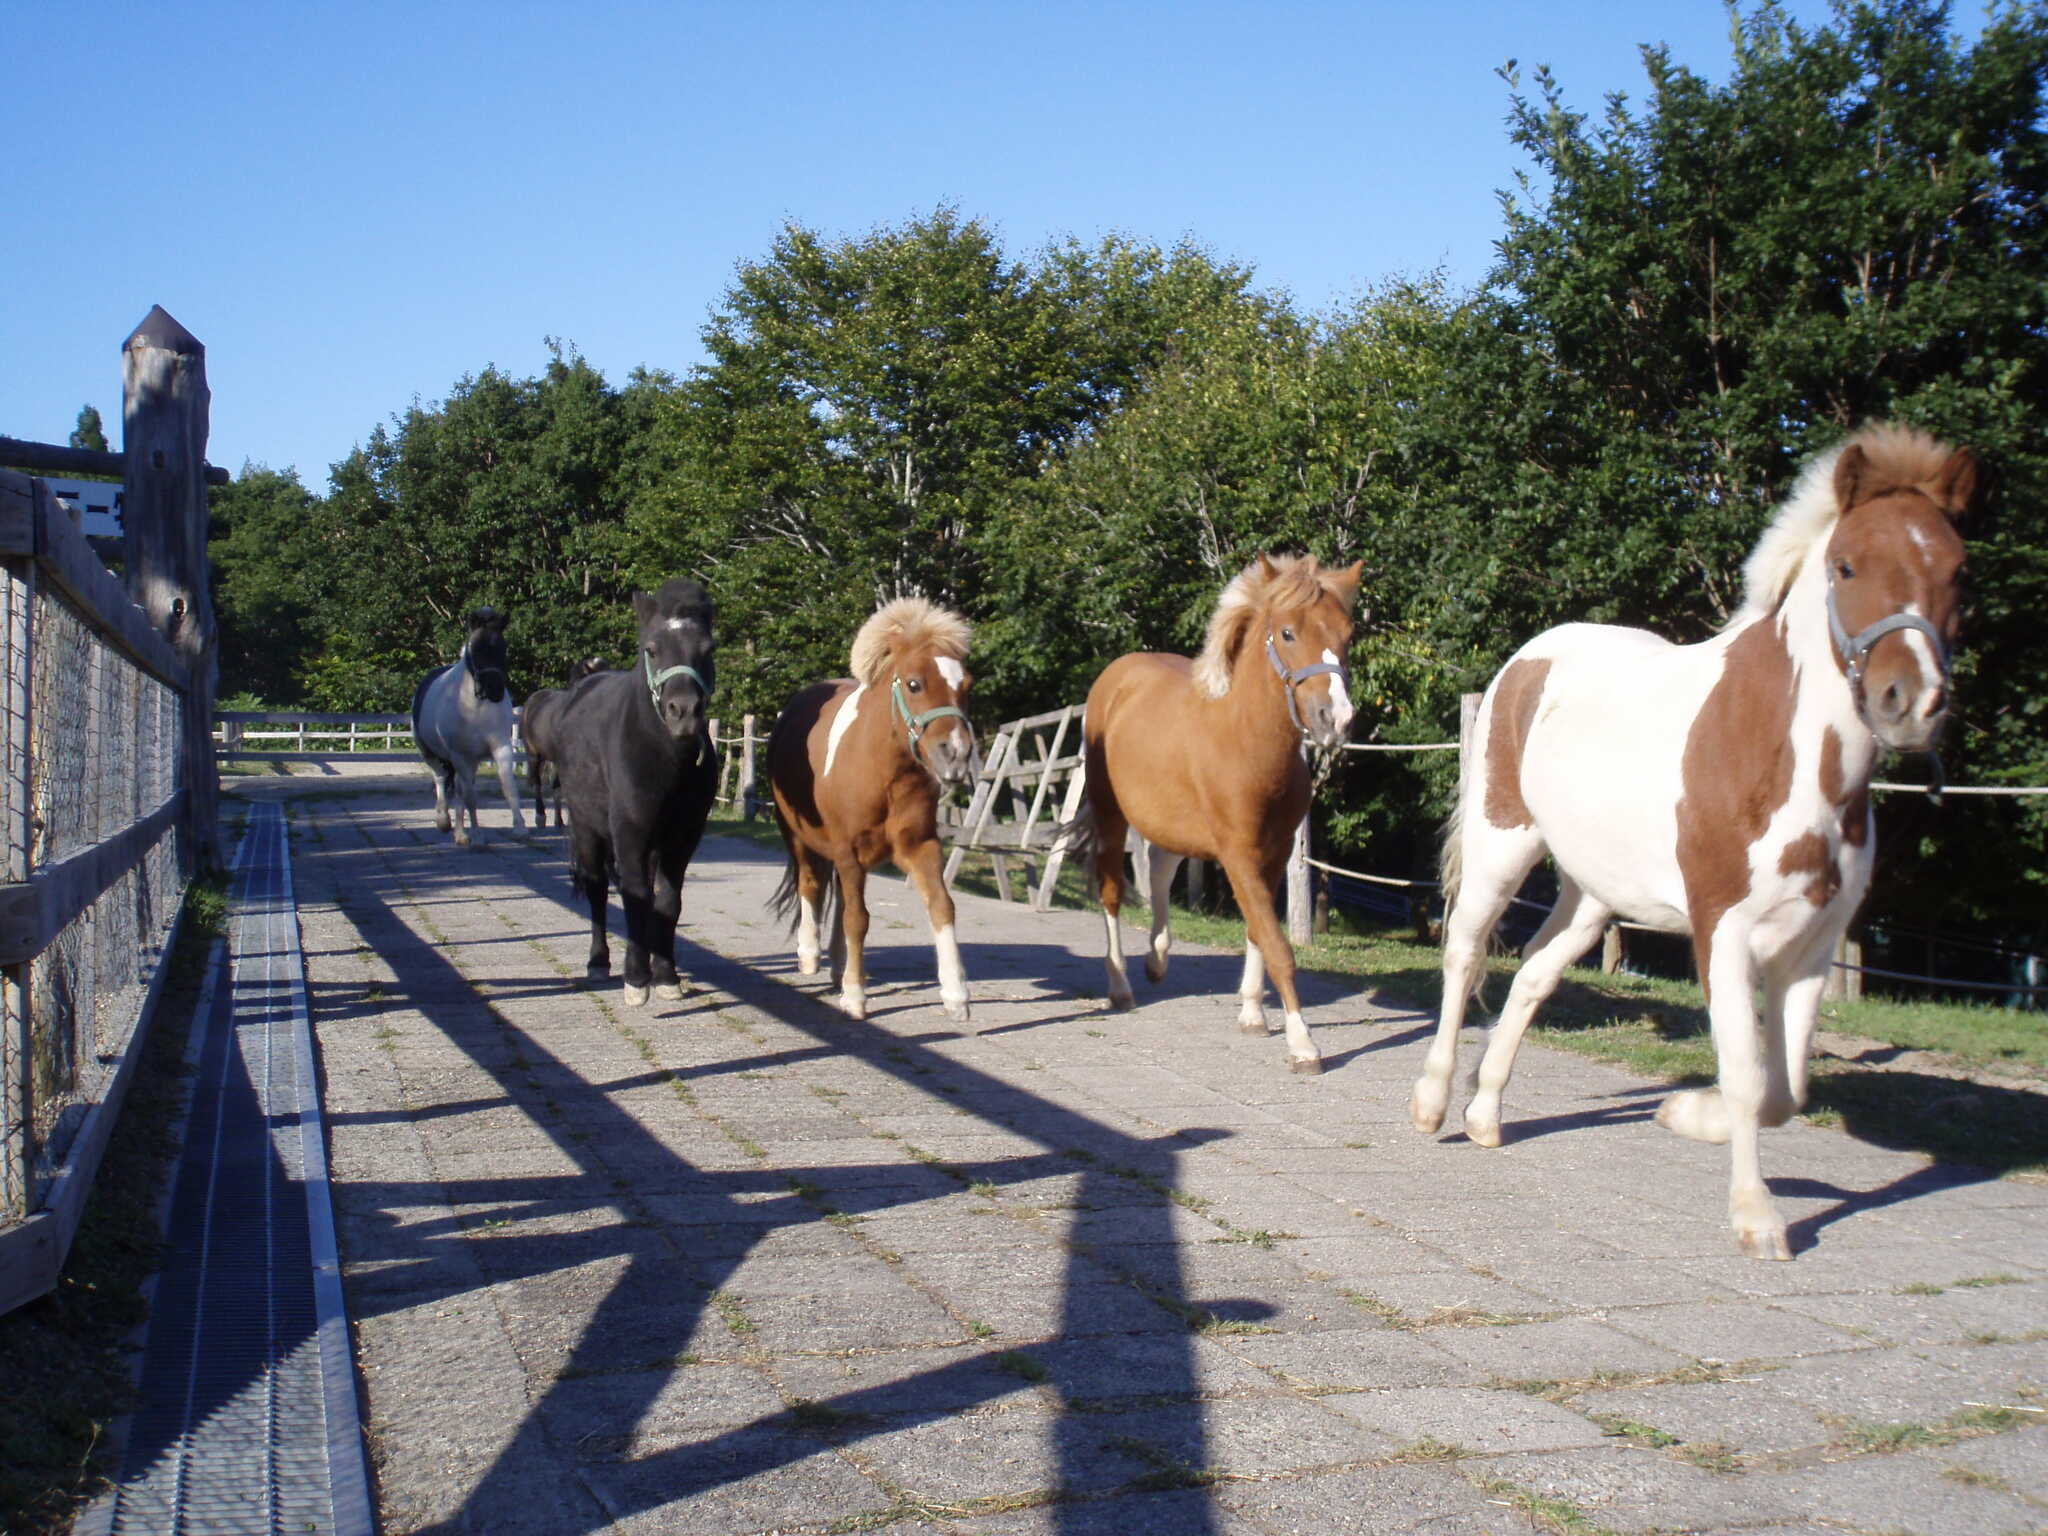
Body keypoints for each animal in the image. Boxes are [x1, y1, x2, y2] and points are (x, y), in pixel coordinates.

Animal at [411, 607, 525, 846]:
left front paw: (519, 829)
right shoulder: (460, 755)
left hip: (469, 762)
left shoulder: (501, 747)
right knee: (441, 779)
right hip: (431, 754)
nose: (495, 690)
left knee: (460, 789)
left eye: (503, 647)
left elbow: (508, 786)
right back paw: (445, 822)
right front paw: (478, 835)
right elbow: (471, 797)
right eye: (477, 649)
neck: (476, 705)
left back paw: (461, 833)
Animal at [549, 584, 718, 1005]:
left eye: (707, 648)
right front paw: (637, 979)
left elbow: (667, 901)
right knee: (596, 889)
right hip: (587, 827)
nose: (683, 711)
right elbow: (635, 896)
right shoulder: (630, 832)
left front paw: (666, 976)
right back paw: (598, 962)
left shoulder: (682, 838)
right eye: (652, 649)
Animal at [766, 597, 977, 1023]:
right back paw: (811, 956)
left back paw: (837, 966)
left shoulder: (920, 847)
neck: (885, 774)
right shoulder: (847, 850)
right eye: (913, 684)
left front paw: (956, 994)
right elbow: (857, 918)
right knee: (810, 885)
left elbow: (941, 906)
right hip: (796, 834)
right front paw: (856, 996)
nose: (956, 754)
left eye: (966, 685)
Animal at [1073, 553, 1361, 1072]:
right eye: (1287, 633)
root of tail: (1118, 674)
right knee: (1111, 894)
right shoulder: (1238, 854)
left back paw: (1157, 960)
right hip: (1110, 815)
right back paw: (1121, 986)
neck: (1245, 740)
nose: (1337, 718)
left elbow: (1257, 932)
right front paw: (1303, 1043)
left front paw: (1252, 1014)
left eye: (1348, 633)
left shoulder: (1273, 854)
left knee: (1161, 869)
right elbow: (1277, 945)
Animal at [1409, 424, 1977, 1260]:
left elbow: (1785, 1087)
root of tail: (1532, 657)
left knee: (1534, 973)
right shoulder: (1723, 930)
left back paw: (1485, 1116)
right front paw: (1758, 1216)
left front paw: (1684, 1114)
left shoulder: (1814, 943)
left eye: (1957, 570)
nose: (1910, 703)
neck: (1777, 755)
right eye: (1846, 565)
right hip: (1500, 846)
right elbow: (1748, 1074)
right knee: (1465, 955)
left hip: (1594, 893)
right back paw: (1432, 1103)